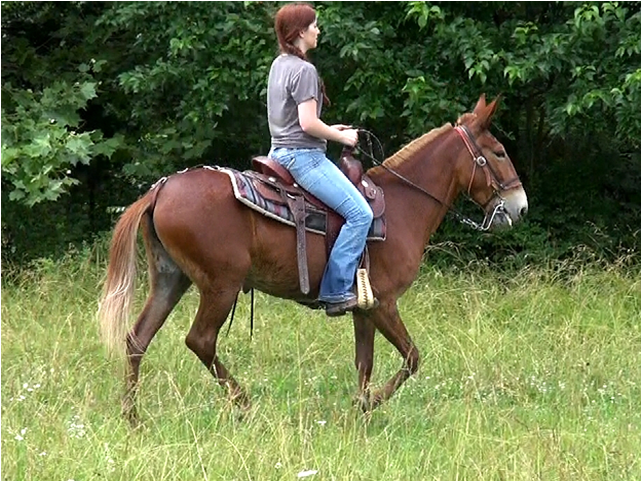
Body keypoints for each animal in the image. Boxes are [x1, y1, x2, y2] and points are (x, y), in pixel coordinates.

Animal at [98, 94, 528, 426]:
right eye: (499, 152)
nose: (520, 207)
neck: (402, 204)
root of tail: (160, 189)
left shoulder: (364, 307)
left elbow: (364, 362)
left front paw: (360, 411)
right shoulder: (384, 303)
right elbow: (411, 358)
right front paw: (369, 403)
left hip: (171, 279)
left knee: (137, 339)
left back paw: (132, 417)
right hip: (221, 285)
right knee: (200, 340)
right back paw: (244, 404)